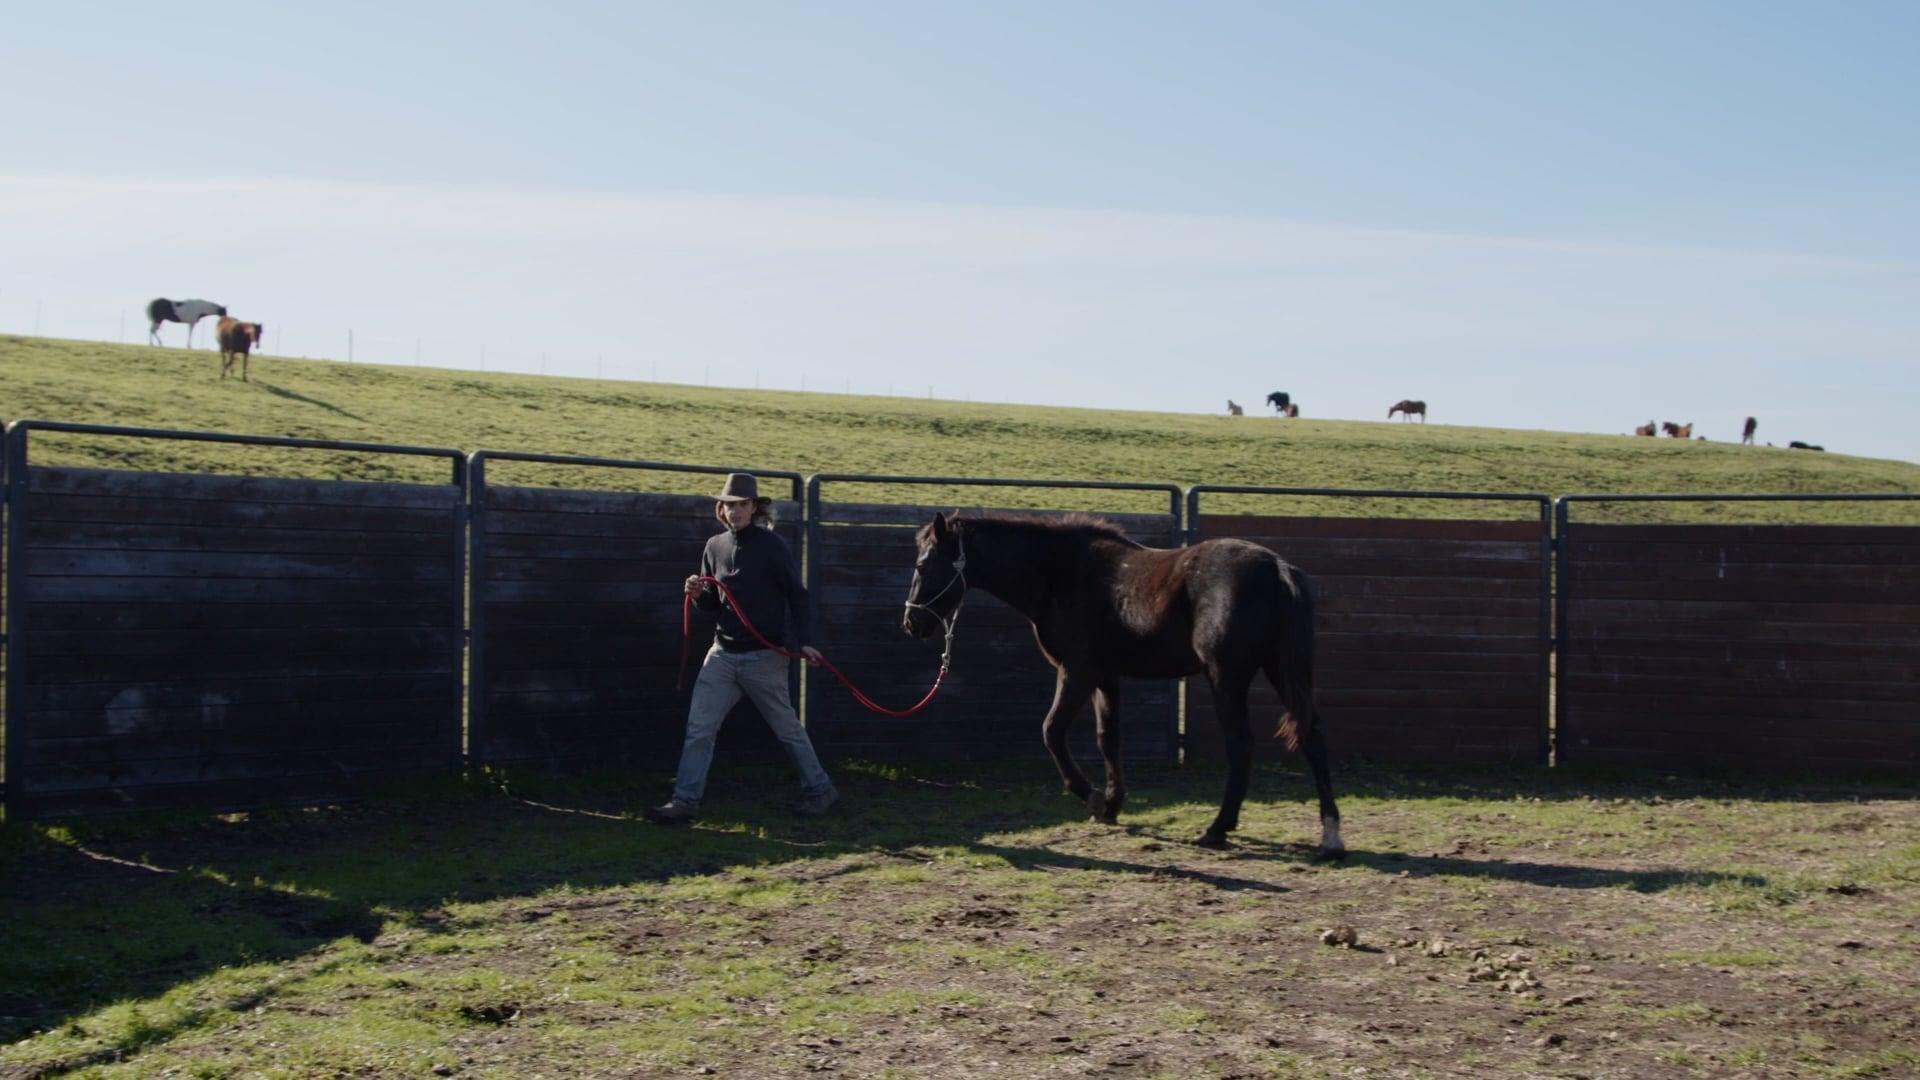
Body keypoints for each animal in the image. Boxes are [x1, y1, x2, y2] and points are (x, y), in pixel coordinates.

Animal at [901, 512, 1342, 855]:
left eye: (923, 566)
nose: (912, 623)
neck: (1062, 574)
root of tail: (1278, 569)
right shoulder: (1106, 676)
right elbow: (1107, 738)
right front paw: (1112, 804)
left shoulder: (1076, 672)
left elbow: (1052, 731)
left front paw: (1092, 796)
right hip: (1281, 671)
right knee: (1314, 738)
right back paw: (1330, 836)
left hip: (1227, 678)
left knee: (1242, 746)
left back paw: (1217, 829)